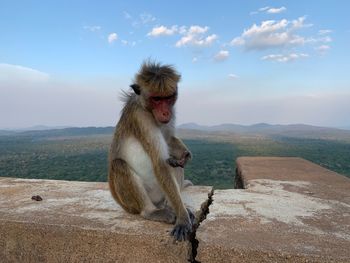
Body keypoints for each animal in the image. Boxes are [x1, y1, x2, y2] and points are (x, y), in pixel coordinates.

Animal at [109, 60, 194, 242]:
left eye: (168, 98)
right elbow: (160, 163)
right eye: (156, 99)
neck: (146, 107)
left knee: (175, 165)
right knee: (118, 164)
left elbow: (168, 140)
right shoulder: (140, 117)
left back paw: (173, 205)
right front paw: (183, 218)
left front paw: (185, 154)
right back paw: (152, 211)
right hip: (130, 203)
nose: (165, 112)